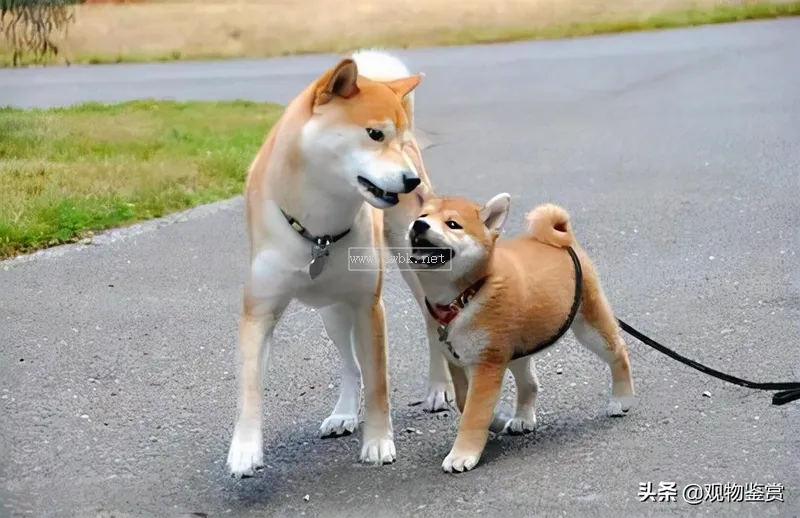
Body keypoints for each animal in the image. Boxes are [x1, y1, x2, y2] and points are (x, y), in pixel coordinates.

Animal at [410, 195, 636, 476]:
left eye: (453, 224)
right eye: (422, 216)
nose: (419, 225)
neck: (463, 298)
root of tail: (565, 242)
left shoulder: (487, 363)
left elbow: (473, 414)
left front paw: (463, 454)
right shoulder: (457, 361)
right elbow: (464, 403)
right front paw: (495, 420)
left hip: (588, 326)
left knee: (618, 352)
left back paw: (622, 398)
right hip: (518, 347)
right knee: (529, 383)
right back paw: (522, 418)